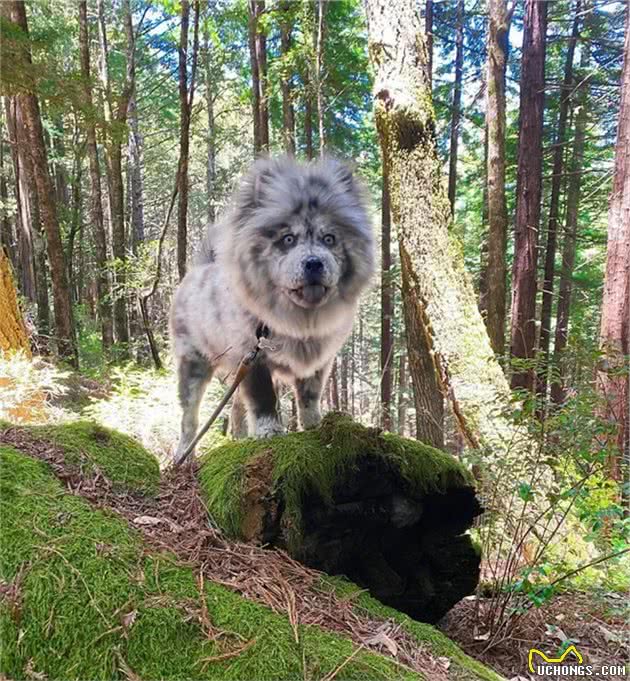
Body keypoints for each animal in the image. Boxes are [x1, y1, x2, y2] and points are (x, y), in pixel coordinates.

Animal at [170, 155, 376, 462]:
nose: (313, 262)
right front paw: (270, 433)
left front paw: (314, 426)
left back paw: (241, 439)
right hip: (194, 363)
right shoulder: (253, 357)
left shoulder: (319, 361)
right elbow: (264, 400)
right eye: (288, 239)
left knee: (236, 409)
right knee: (189, 417)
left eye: (329, 239)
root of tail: (199, 269)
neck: (298, 321)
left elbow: (309, 396)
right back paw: (184, 454)